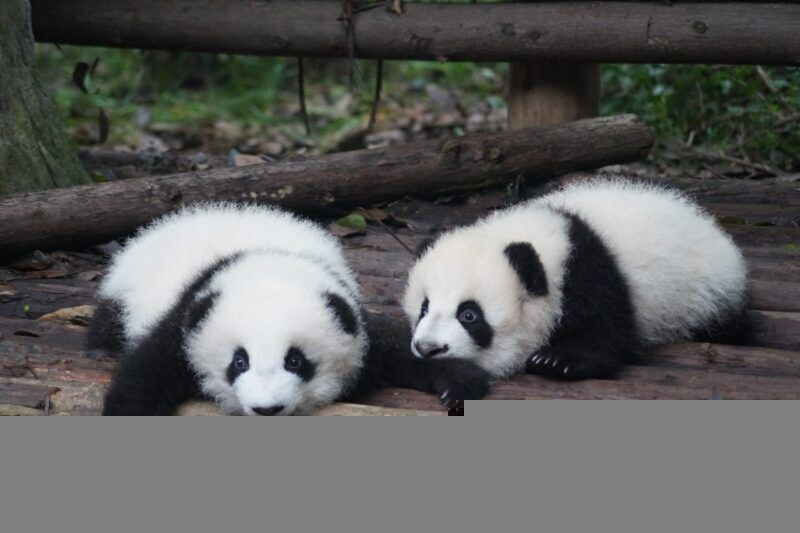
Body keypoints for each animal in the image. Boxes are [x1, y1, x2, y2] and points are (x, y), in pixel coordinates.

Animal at [90, 203, 491, 415]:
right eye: (239, 362)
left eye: (295, 361)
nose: (267, 409)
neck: (269, 259)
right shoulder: (187, 318)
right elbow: (146, 372)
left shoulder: (352, 316)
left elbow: (397, 346)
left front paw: (458, 381)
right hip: (121, 295)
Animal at [403, 177, 748, 388]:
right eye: (424, 309)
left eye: (469, 315)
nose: (428, 348)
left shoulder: (589, 273)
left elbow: (607, 334)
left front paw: (557, 360)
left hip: (706, 294)